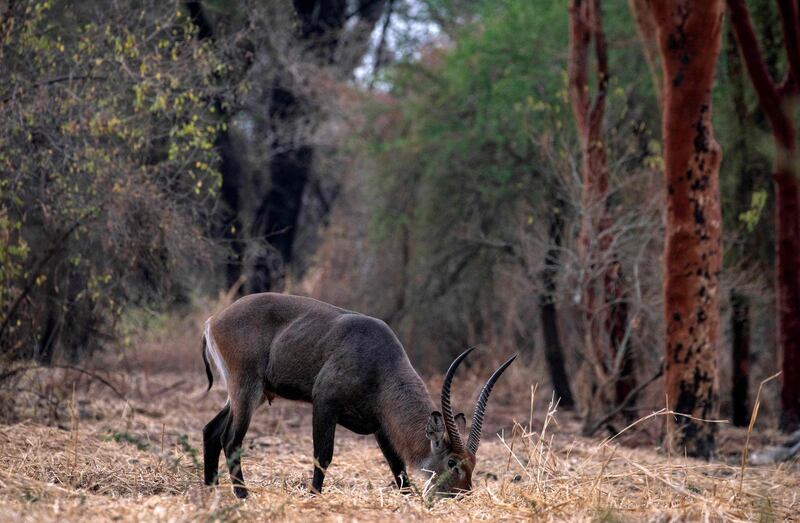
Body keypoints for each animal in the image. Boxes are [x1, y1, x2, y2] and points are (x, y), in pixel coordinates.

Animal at [198, 294, 512, 500]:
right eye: (452, 463)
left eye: (473, 464)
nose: (463, 495)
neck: (381, 361)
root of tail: (214, 320)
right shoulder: (324, 404)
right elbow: (322, 455)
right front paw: (314, 496)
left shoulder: (380, 425)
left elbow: (397, 467)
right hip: (246, 390)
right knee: (231, 439)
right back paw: (242, 495)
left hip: (254, 394)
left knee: (211, 430)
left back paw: (211, 490)